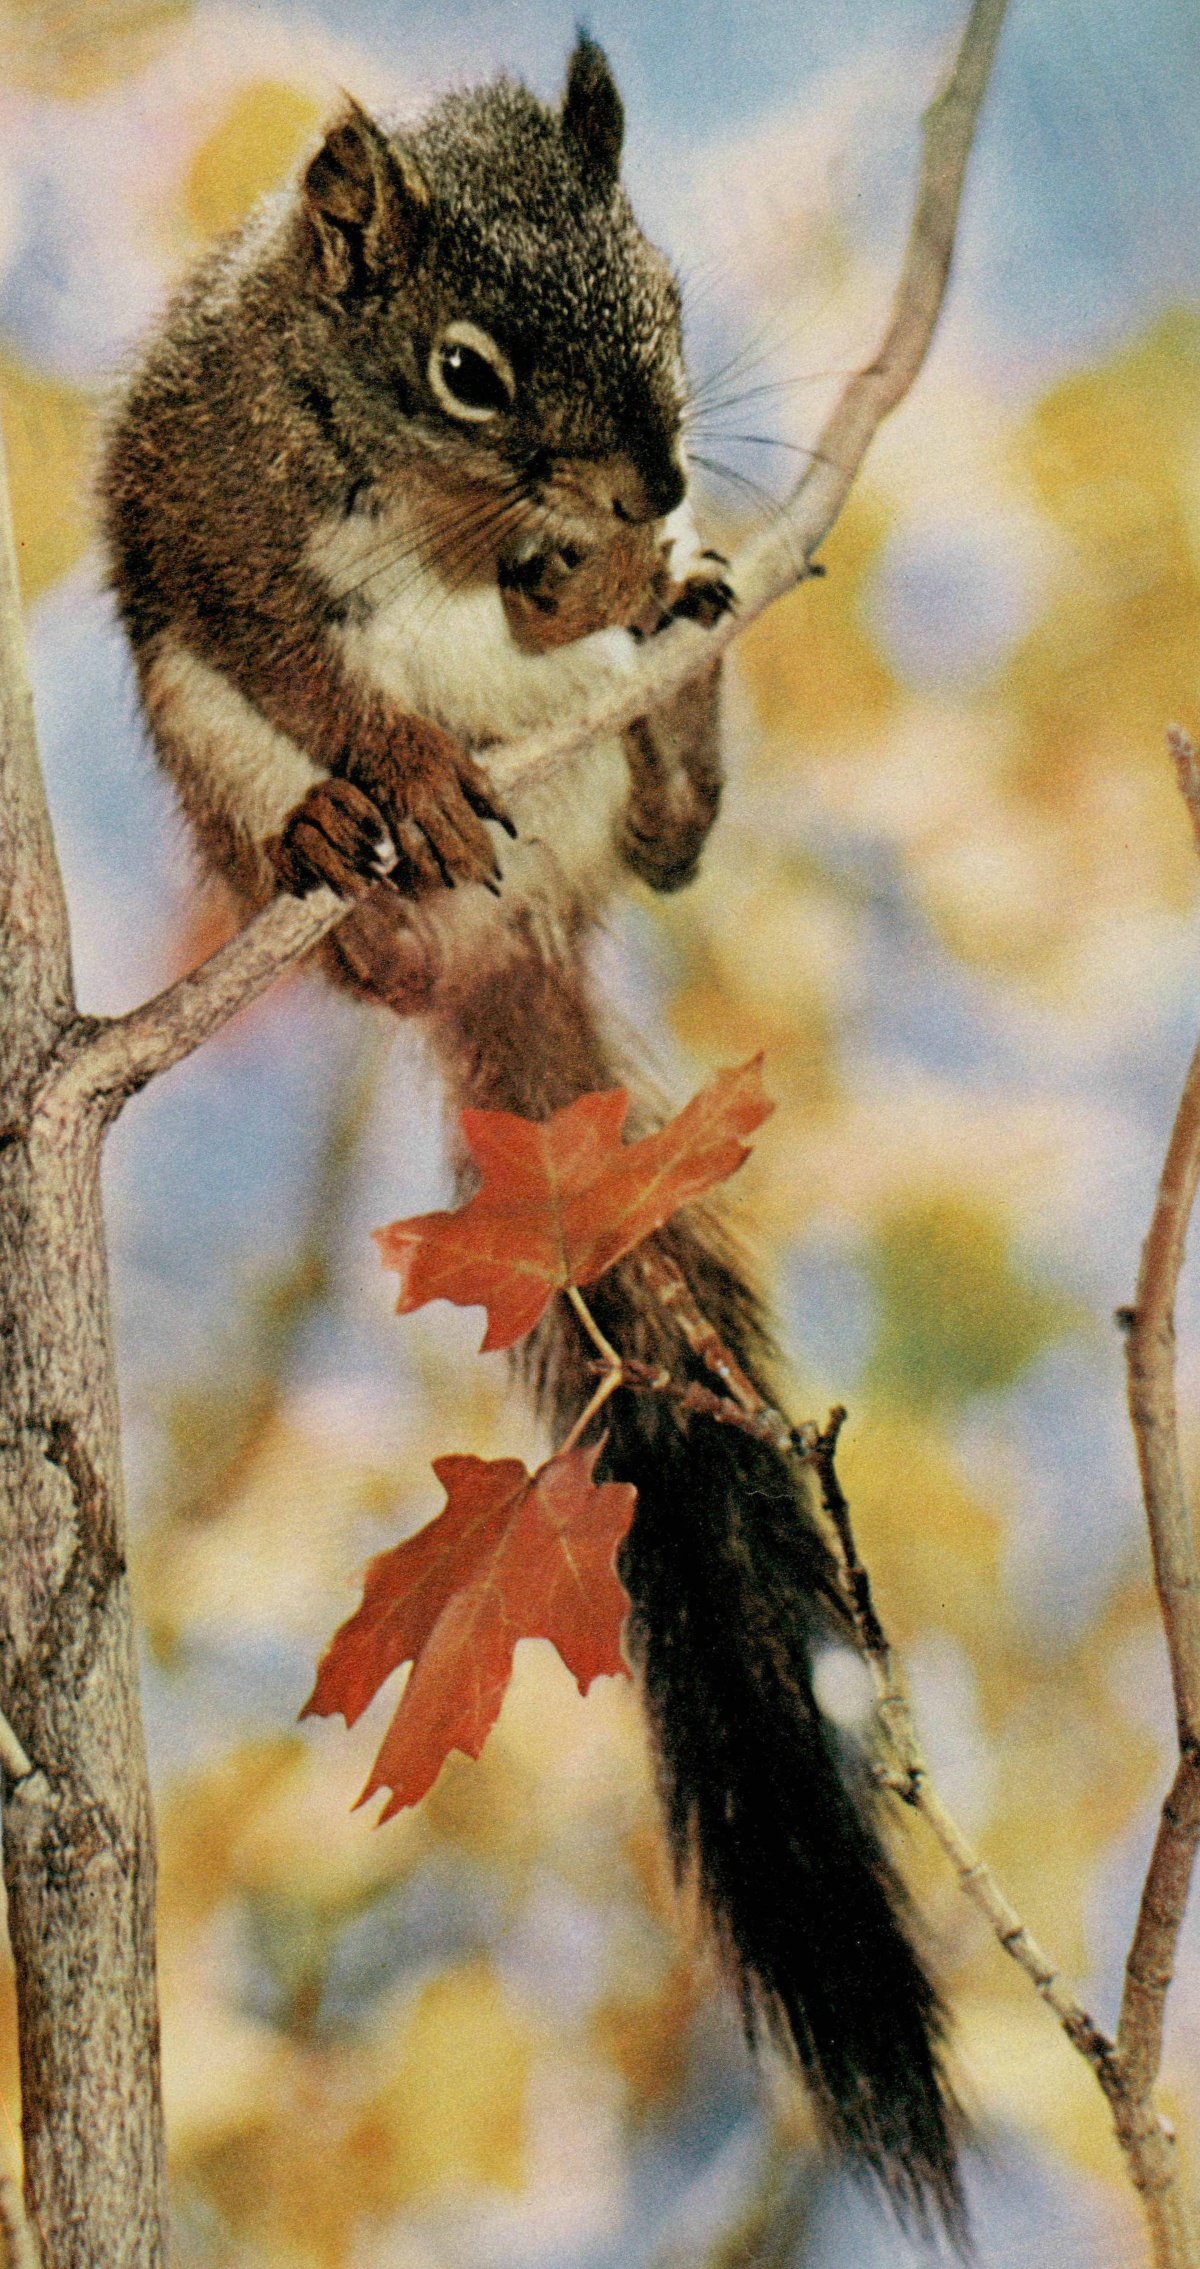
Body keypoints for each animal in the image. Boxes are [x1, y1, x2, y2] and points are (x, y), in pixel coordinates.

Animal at [103, 35, 961, 2232]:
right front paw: (400, 750)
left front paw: (636, 579)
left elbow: (577, 612)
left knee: (664, 852)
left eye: (668, 300)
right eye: (470, 370)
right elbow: (298, 647)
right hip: (231, 777)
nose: (651, 488)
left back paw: (678, 712)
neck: (433, 498)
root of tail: (513, 948)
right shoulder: (216, 526)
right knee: (348, 885)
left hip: (608, 824)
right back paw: (362, 857)